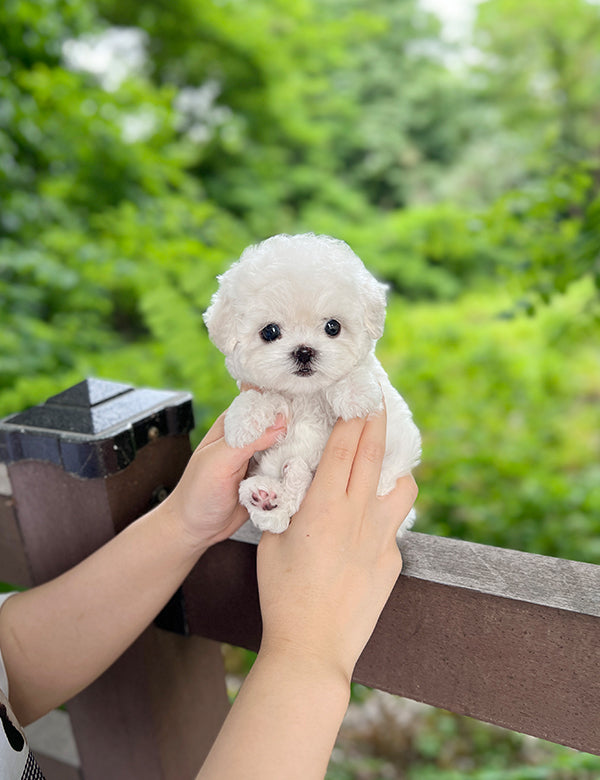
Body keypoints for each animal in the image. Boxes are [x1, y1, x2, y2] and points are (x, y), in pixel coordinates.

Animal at [206, 235, 422, 532]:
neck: (306, 395)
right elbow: (262, 397)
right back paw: (266, 497)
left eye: (333, 327)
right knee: (282, 512)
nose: (304, 351)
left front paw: (355, 393)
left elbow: (358, 373)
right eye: (270, 332)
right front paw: (243, 421)